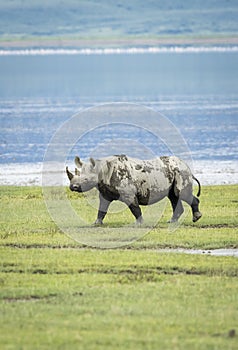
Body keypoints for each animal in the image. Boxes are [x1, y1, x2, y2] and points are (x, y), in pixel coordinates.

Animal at [66, 155, 202, 224]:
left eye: (85, 180)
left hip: (181, 172)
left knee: (180, 194)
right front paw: (96, 223)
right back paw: (172, 222)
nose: (73, 187)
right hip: (173, 172)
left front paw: (139, 224)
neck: (101, 170)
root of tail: (187, 166)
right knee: (173, 196)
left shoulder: (128, 193)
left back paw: (196, 218)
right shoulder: (105, 192)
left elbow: (134, 208)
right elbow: (102, 209)